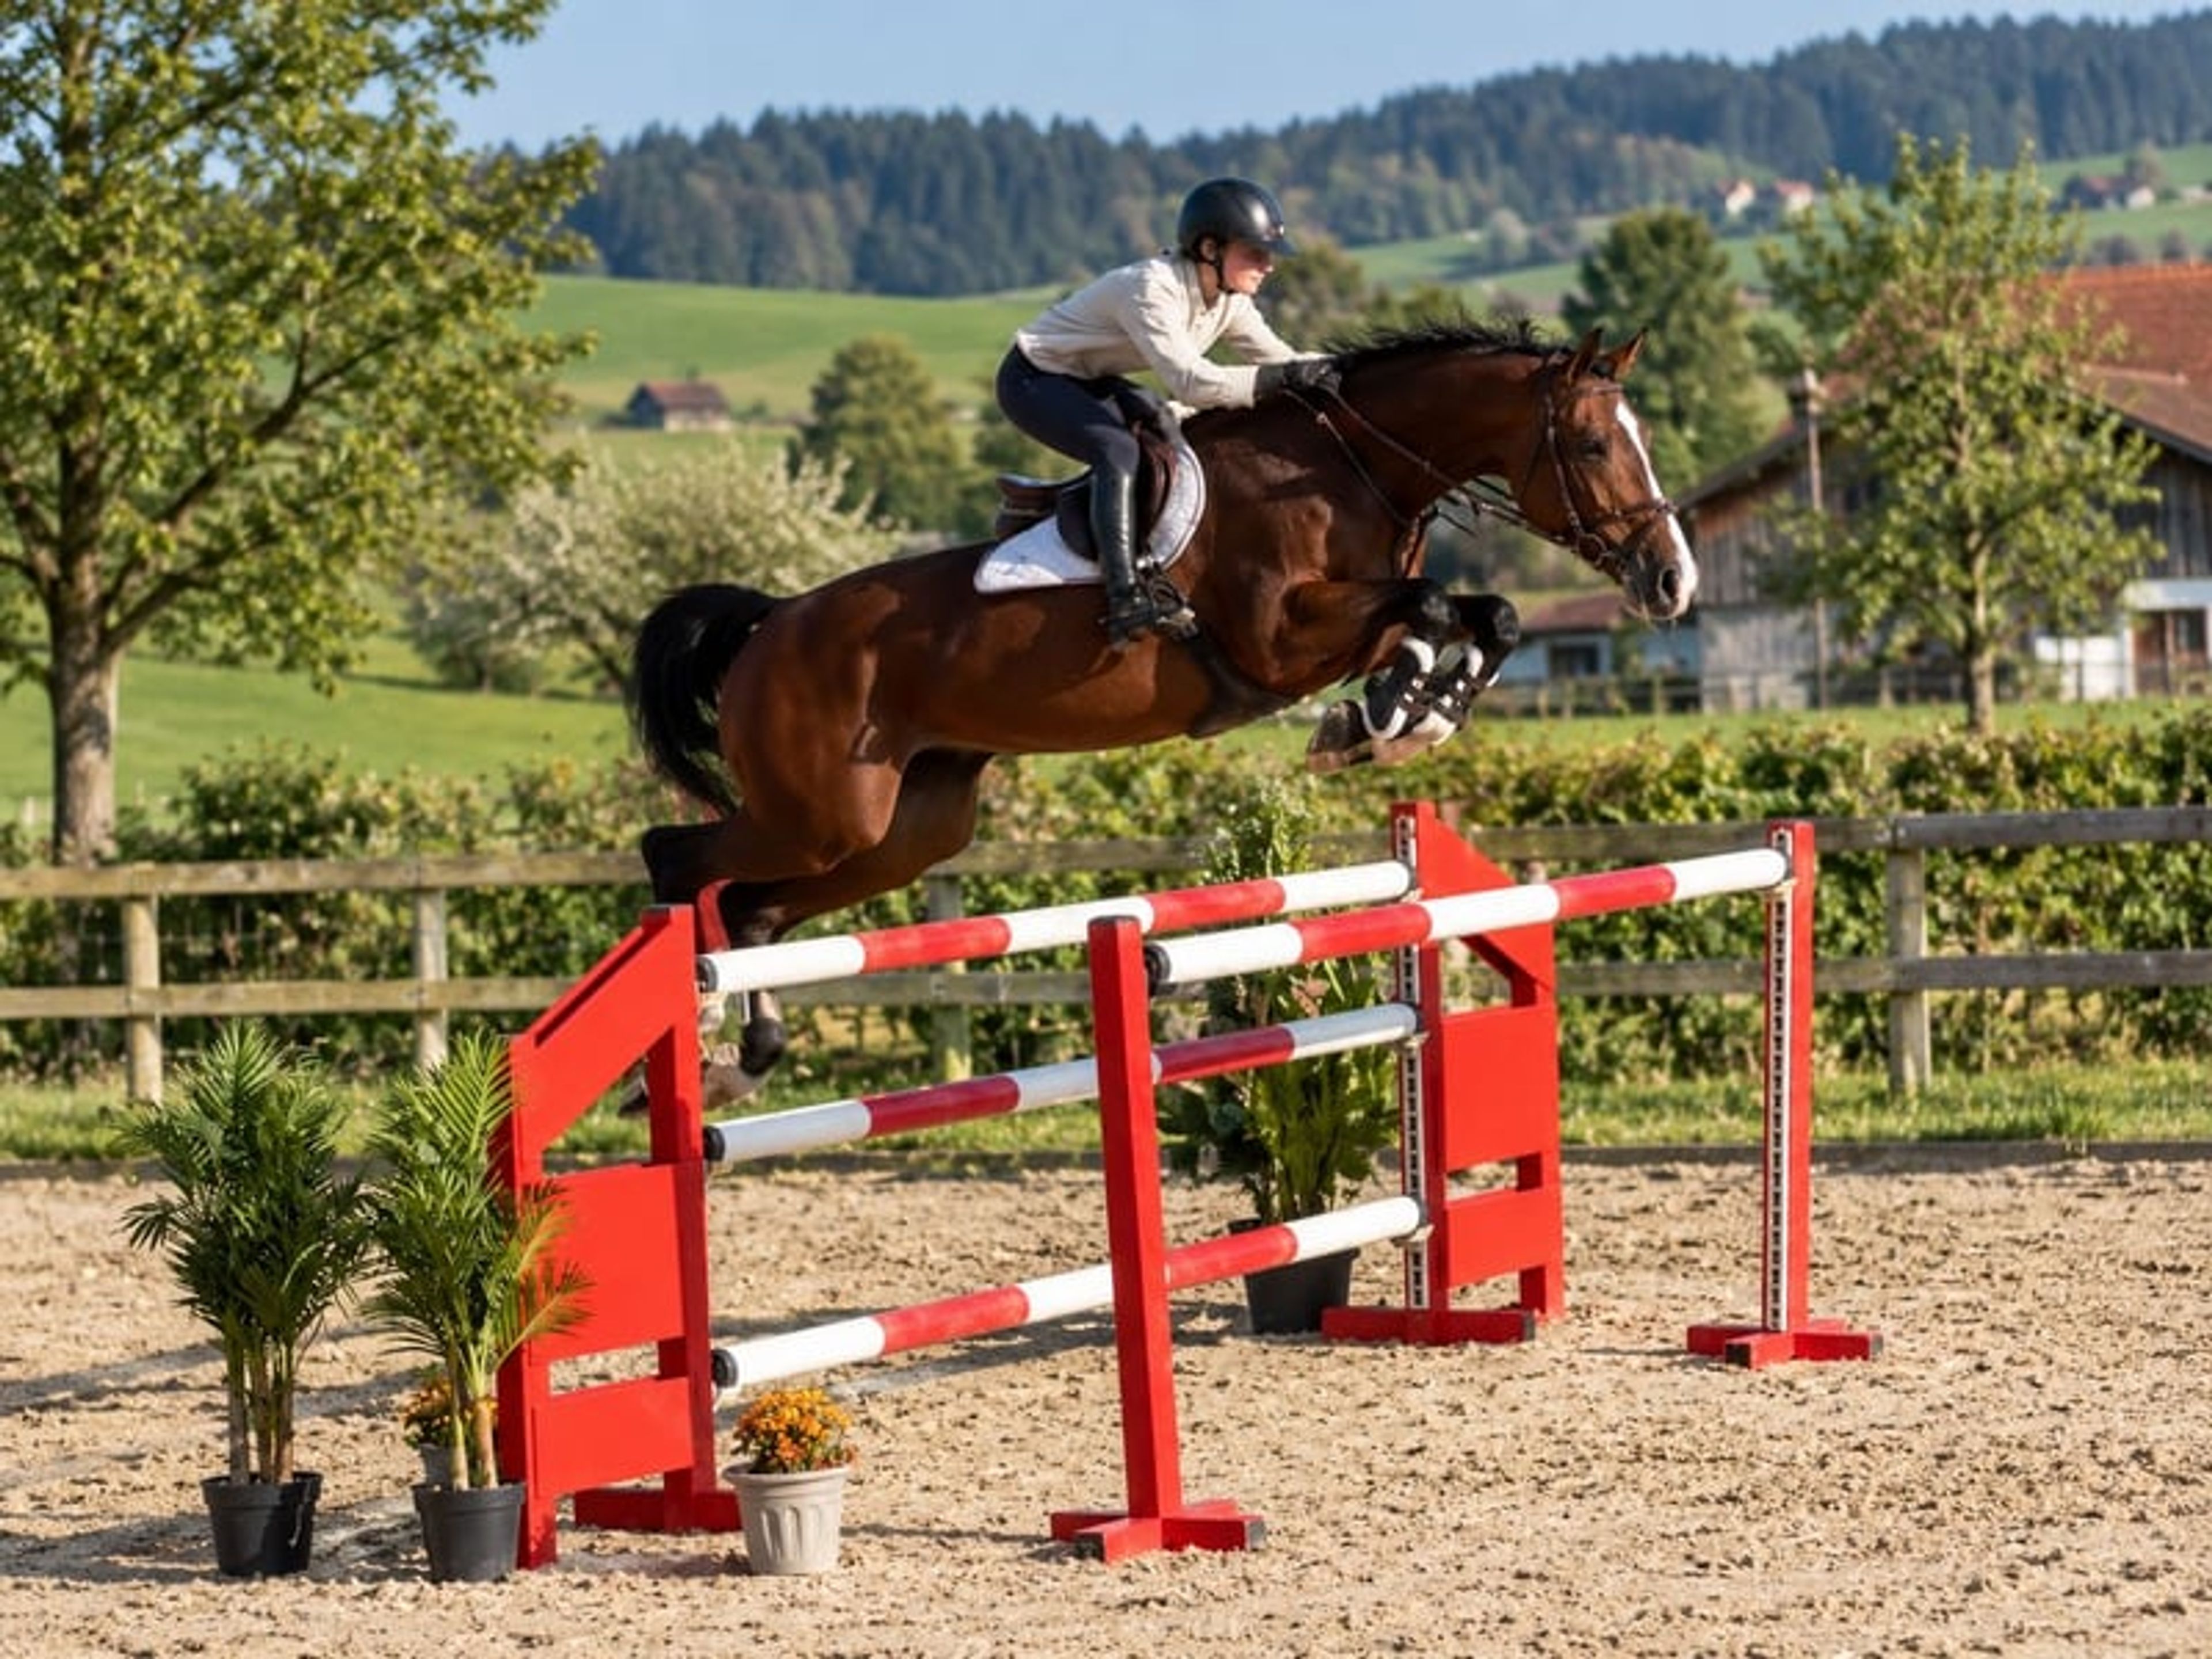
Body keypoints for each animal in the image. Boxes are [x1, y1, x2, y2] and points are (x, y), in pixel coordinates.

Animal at [626, 319, 1696, 1094]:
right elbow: (1430, 606)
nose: (1671, 581)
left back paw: (742, 1062)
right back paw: (687, 1043)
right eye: (1593, 442)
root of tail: (770, 622)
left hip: (905, 828)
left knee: (756, 907)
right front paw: (1381, 716)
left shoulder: (1347, 620)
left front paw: (1408, 715)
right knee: (678, 858)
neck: (1343, 469)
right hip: (821, 814)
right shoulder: (1281, 639)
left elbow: (1489, 613)